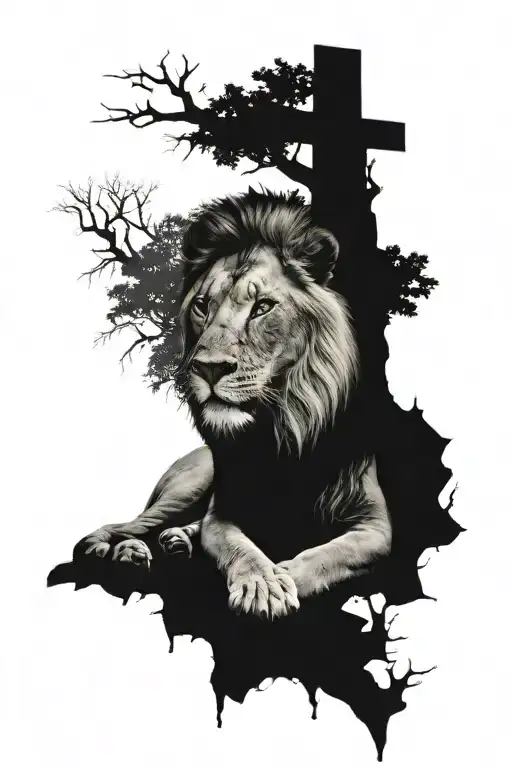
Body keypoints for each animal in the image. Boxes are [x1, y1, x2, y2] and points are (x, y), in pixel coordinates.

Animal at [75, 189, 392, 619]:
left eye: (262, 308)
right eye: (202, 305)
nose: (209, 368)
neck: (284, 431)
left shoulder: (375, 527)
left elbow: (326, 554)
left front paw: (283, 577)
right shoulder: (221, 515)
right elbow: (241, 549)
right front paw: (262, 584)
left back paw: (174, 542)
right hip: (187, 489)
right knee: (115, 528)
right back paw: (127, 551)